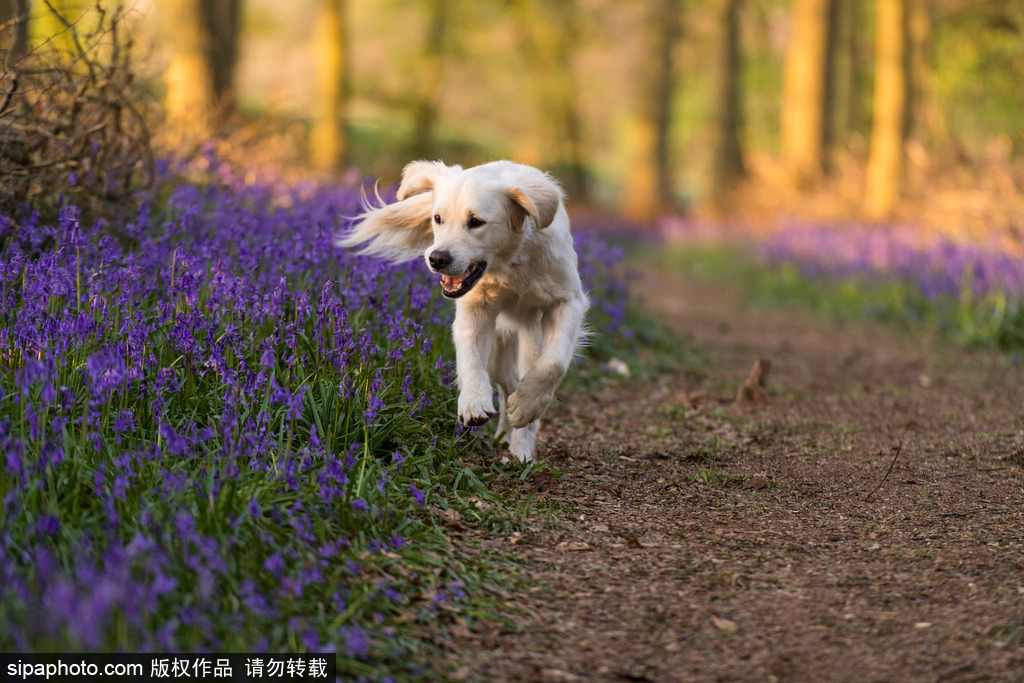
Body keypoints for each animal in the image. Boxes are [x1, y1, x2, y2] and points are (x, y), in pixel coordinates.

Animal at [339, 160, 589, 462]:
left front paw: (527, 405)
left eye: (476, 222)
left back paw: (521, 450)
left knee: (526, 380)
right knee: (507, 384)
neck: (510, 264)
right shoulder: (475, 309)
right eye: (437, 218)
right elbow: (470, 358)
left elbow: (553, 363)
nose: (437, 259)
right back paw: (506, 438)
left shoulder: (568, 301)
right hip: (499, 354)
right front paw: (473, 403)